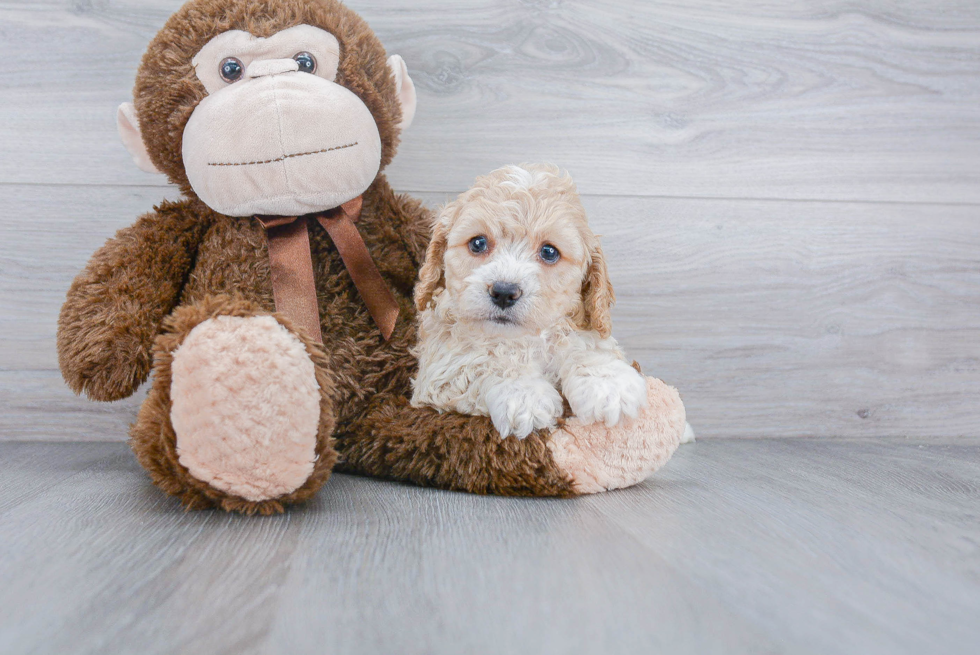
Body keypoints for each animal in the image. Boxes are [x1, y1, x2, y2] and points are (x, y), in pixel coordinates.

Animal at [410, 164, 656, 440]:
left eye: (549, 252)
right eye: (478, 243)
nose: (504, 292)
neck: (522, 339)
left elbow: (583, 343)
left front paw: (607, 382)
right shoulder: (438, 371)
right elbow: (484, 361)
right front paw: (523, 395)